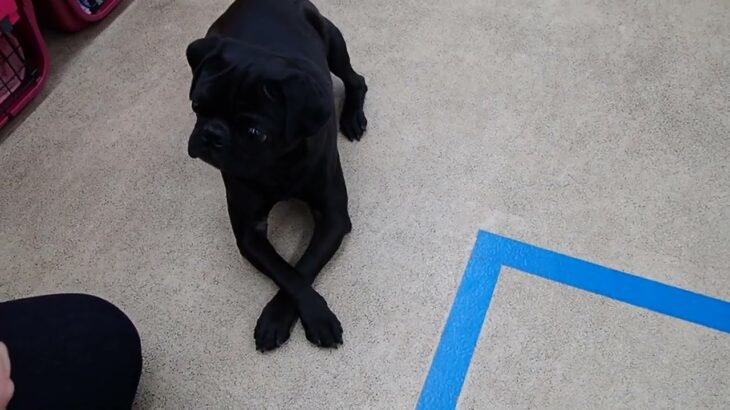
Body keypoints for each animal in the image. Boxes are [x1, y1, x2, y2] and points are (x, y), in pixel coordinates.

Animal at [185, 0, 366, 352]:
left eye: (255, 133)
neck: (276, 165)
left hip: (334, 44)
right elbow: (286, 272)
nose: (212, 134)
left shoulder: (333, 218)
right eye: (198, 106)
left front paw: (301, 317)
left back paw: (352, 116)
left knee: (356, 79)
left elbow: (305, 264)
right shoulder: (250, 233)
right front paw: (291, 316)